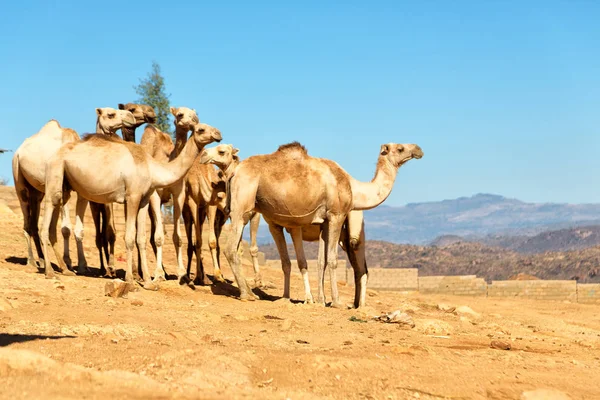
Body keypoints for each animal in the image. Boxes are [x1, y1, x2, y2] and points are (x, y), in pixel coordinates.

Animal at [12, 108, 137, 276]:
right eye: (111, 114)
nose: (131, 117)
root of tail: (19, 151)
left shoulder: (82, 193)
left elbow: (79, 230)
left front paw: (83, 266)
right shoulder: (66, 191)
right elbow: (65, 229)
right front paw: (70, 263)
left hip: (37, 192)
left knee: (33, 222)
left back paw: (42, 260)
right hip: (19, 180)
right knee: (26, 218)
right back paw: (31, 261)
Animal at [40, 123, 223, 290]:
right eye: (200, 129)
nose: (218, 133)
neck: (151, 166)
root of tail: (54, 155)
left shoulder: (143, 199)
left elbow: (141, 238)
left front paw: (148, 282)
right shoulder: (132, 196)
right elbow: (129, 237)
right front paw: (130, 279)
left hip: (66, 184)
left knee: (55, 215)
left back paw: (65, 269)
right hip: (56, 172)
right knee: (47, 216)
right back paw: (49, 271)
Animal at [220, 142, 422, 304]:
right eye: (400, 148)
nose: (418, 149)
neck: (353, 187)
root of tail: (234, 172)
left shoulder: (322, 222)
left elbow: (319, 261)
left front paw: (318, 300)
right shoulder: (336, 214)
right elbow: (332, 260)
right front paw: (336, 301)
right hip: (242, 204)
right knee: (230, 247)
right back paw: (246, 294)